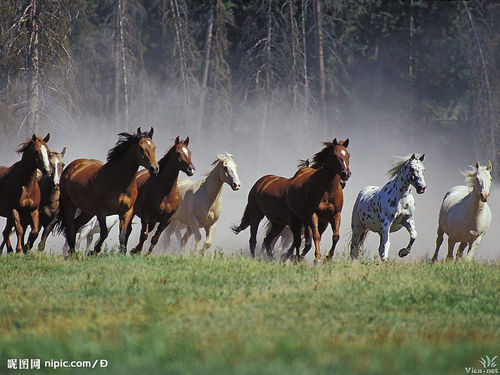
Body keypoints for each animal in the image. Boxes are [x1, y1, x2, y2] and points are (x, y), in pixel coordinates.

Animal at [57, 127, 159, 256]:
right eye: (141, 148)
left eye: (154, 147)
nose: (154, 168)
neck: (119, 183)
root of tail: (73, 166)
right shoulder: (102, 212)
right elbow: (104, 233)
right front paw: (93, 252)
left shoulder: (126, 212)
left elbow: (123, 236)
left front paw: (122, 254)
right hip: (70, 205)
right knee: (70, 228)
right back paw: (72, 254)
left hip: (87, 212)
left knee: (75, 226)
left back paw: (71, 254)